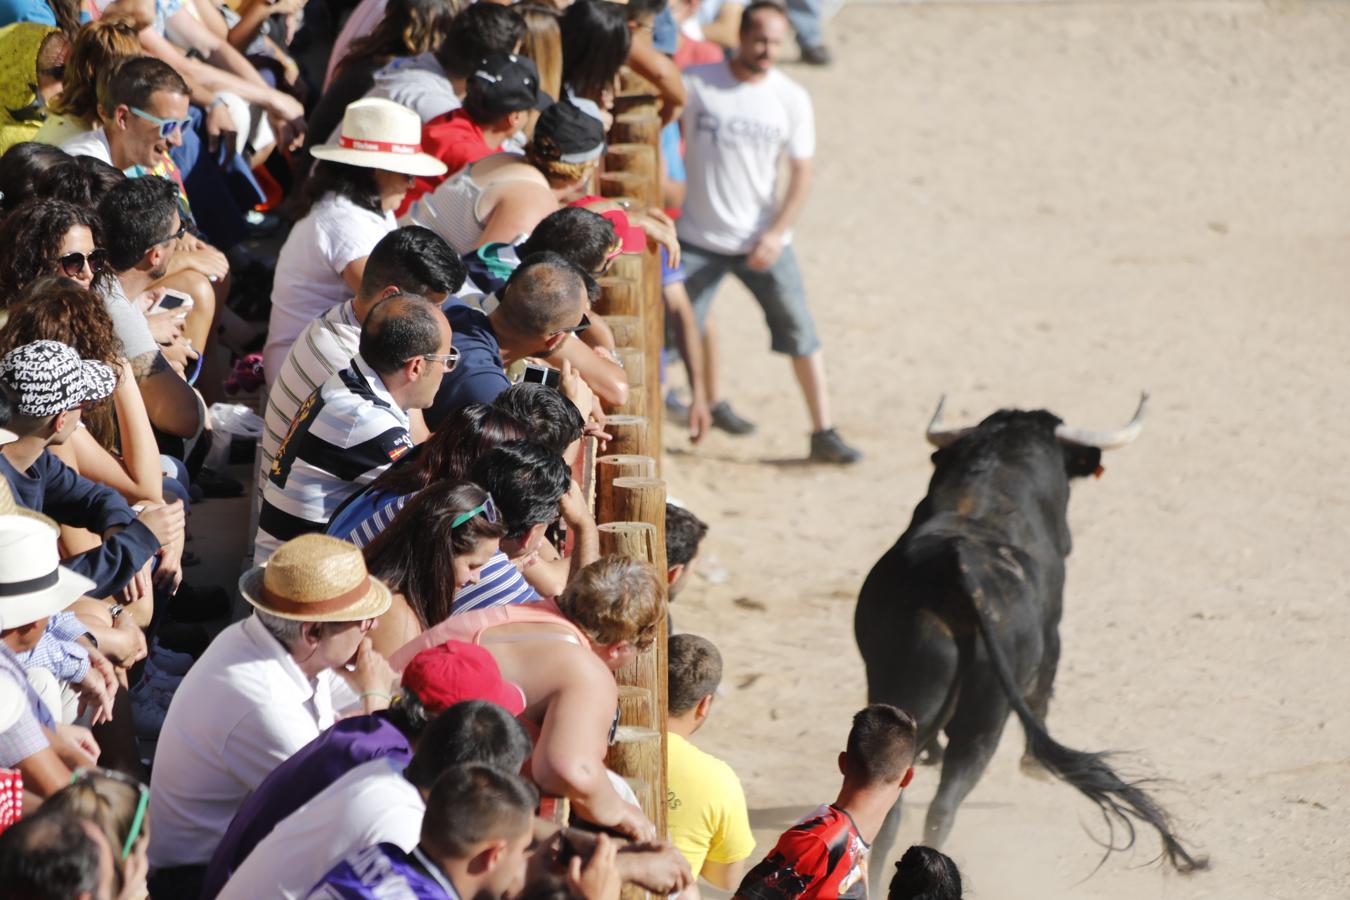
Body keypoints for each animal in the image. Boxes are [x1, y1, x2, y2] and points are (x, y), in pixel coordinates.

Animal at [853, 402, 1204, 879]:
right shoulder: (1054, 628)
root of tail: (956, 569)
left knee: (895, 803)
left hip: (915, 694)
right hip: (986, 720)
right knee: (943, 805)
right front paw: (1034, 765)